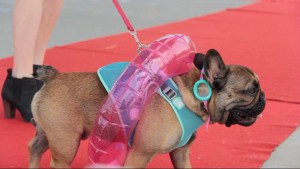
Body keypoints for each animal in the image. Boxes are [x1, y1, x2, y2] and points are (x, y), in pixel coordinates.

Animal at [28, 48, 264, 168]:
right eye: (252, 90)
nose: (263, 97)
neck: (191, 96)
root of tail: (54, 77)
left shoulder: (181, 153)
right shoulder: (140, 154)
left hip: (49, 133)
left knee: (35, 148)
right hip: (66, 143)